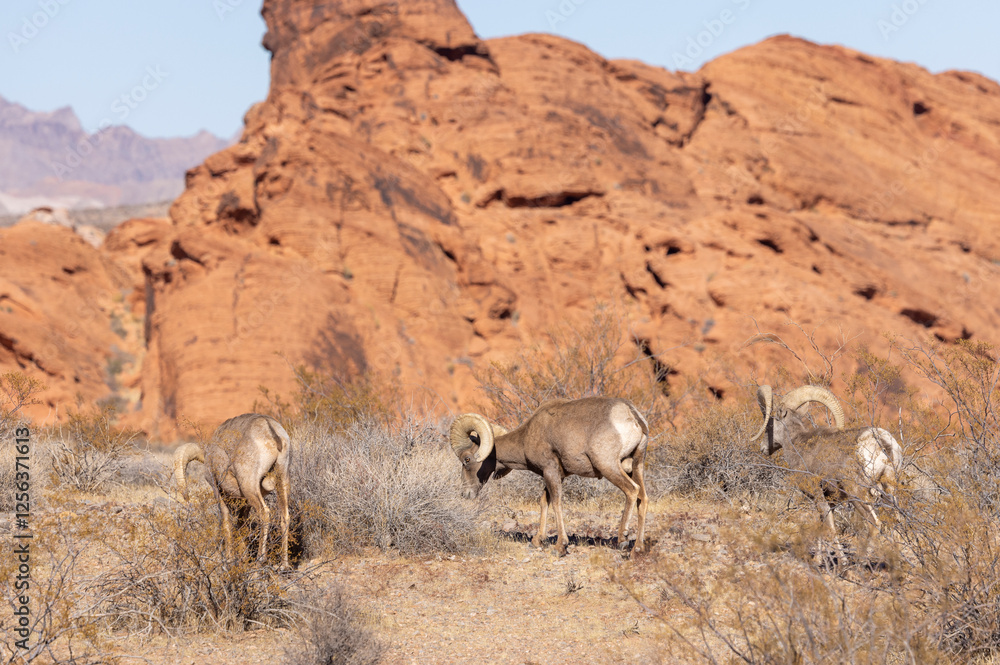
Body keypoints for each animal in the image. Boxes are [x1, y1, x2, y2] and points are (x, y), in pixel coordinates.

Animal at [174, 413, 291, 569]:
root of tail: (270, 430)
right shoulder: (245, 504)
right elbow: (242, 526)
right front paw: (242, 559)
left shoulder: (218, 491)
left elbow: (226, 522)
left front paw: (229, 561)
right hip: (282, 480)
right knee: (285, 517)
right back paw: (284, 565)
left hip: (250, 487)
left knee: (264, 513)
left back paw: (260, 560)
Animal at [450, 396, 649, 556]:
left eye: (466, 459)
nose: (465, 494)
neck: (527, 436)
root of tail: (632, 415)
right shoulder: (554, 475)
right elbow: (544, 502)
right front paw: (538, 540)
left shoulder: (550, 470)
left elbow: (556, 502)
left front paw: (560, 547)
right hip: (636, 466)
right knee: (643, 498)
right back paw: (637, 549)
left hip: (609, 466)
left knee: (632, 491)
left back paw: (623, 538)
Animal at [751, 384, 903, 560]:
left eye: (770, 425)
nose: (763, 448)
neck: (797, 444)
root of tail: (880, 441)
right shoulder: (831, 499)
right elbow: (822, 523)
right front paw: (818, 559)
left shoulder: (817, 493)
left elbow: (829, 525)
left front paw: (841, 560)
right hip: (889, 490)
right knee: (897, 521)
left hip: (857, 493)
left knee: (874, 523)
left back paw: (860, 561)